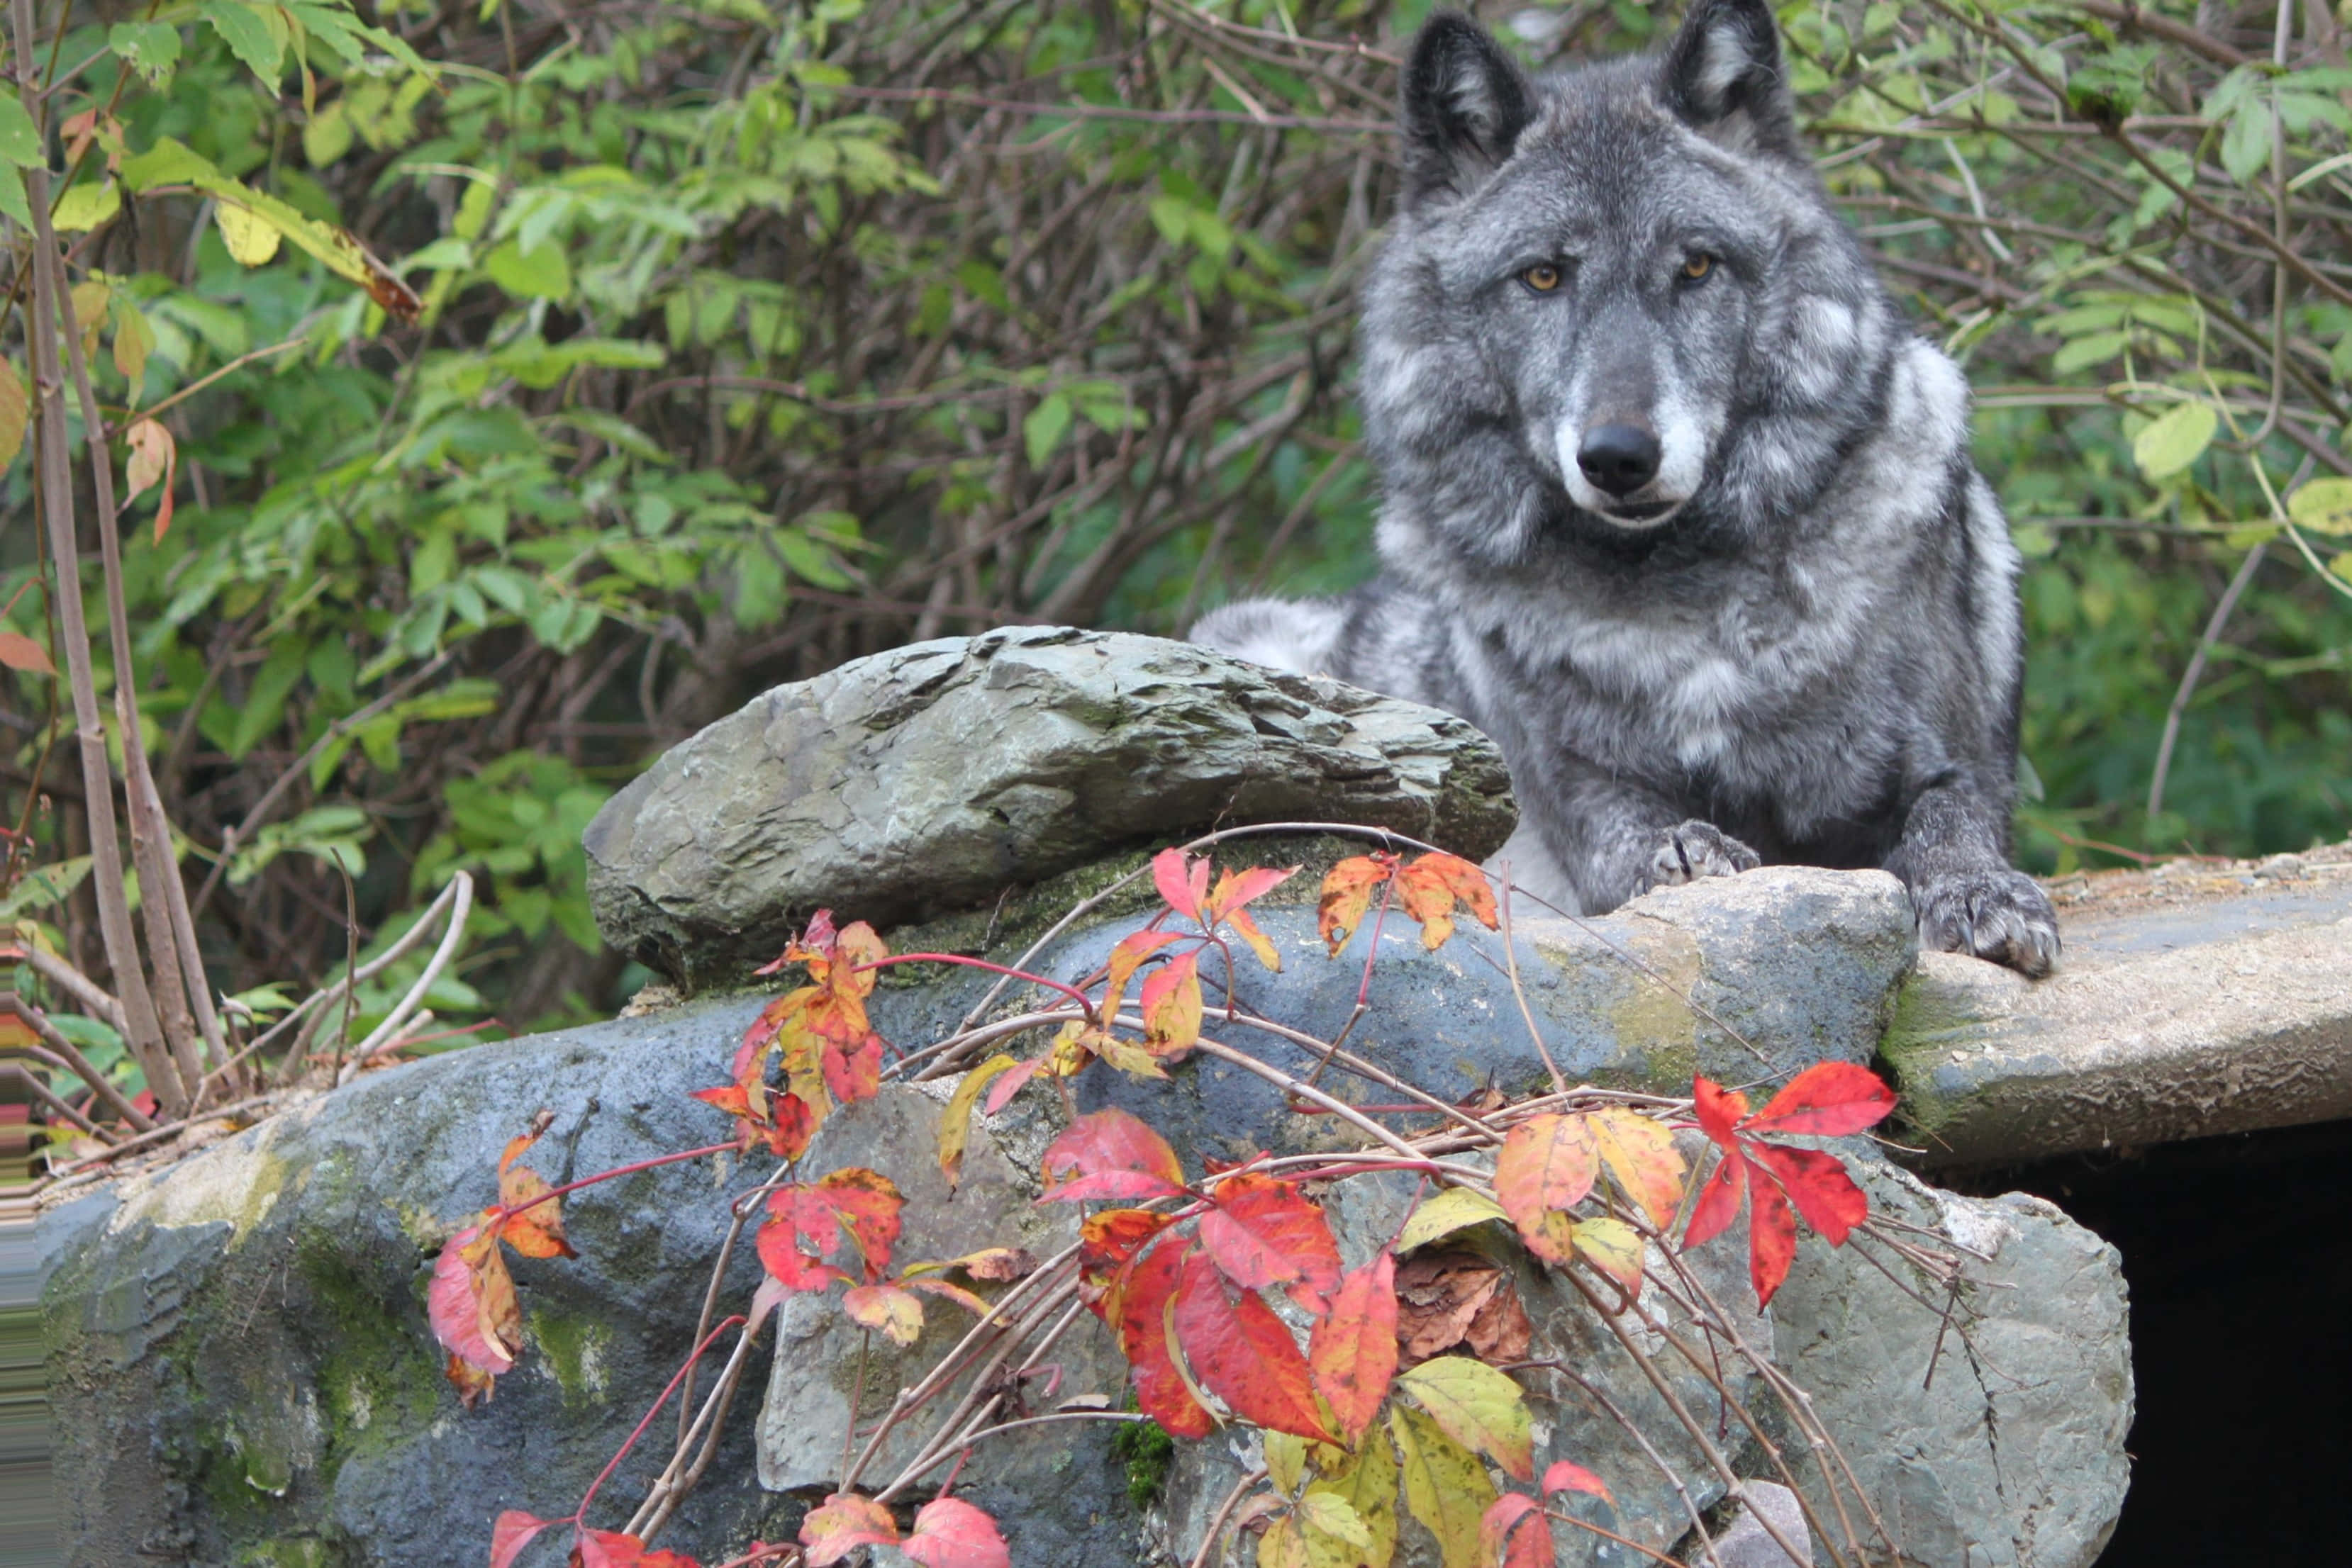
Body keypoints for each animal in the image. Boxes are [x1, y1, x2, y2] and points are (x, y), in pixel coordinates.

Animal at [1191, 0, 2059, 975]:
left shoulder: (1950, 764)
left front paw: (1979, 891)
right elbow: (1628, 831)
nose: (1616, 457)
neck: (1686, 603)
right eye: (1542, 275)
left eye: (1695, 267)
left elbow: (1951, 816)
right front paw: (1680, 850)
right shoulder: (1579, 799)